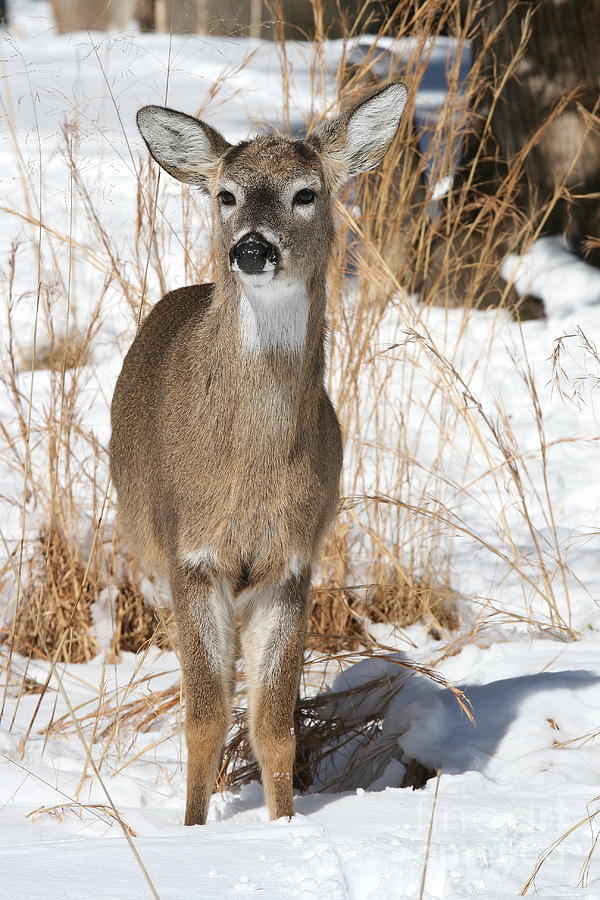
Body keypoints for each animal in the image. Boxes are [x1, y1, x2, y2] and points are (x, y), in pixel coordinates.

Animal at [109, 81, 408, 828]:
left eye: (306, 193)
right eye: (226, 194)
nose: (250, 247)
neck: (249, 469)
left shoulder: (292, 561)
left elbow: (275, 725)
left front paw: (282, 826)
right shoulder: (191, 554)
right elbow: (205, 719)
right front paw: (193, 830)